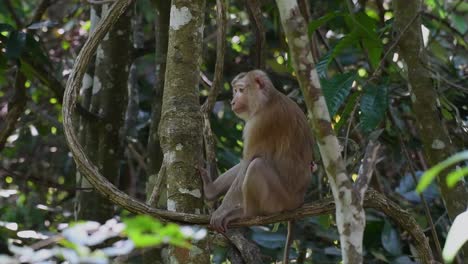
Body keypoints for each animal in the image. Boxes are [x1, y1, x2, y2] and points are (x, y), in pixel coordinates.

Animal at [199, 69, 312, 262]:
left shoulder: (261, 123)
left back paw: (247, 213)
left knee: (256, 165)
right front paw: (211, 192)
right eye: (235, 91)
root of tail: (299, 200)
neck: (267, 100)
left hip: (281, 200)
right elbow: (244, 163)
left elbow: (248, 161)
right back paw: (210, 190)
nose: (233, 101)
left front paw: (221, 211)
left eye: (240, 90)